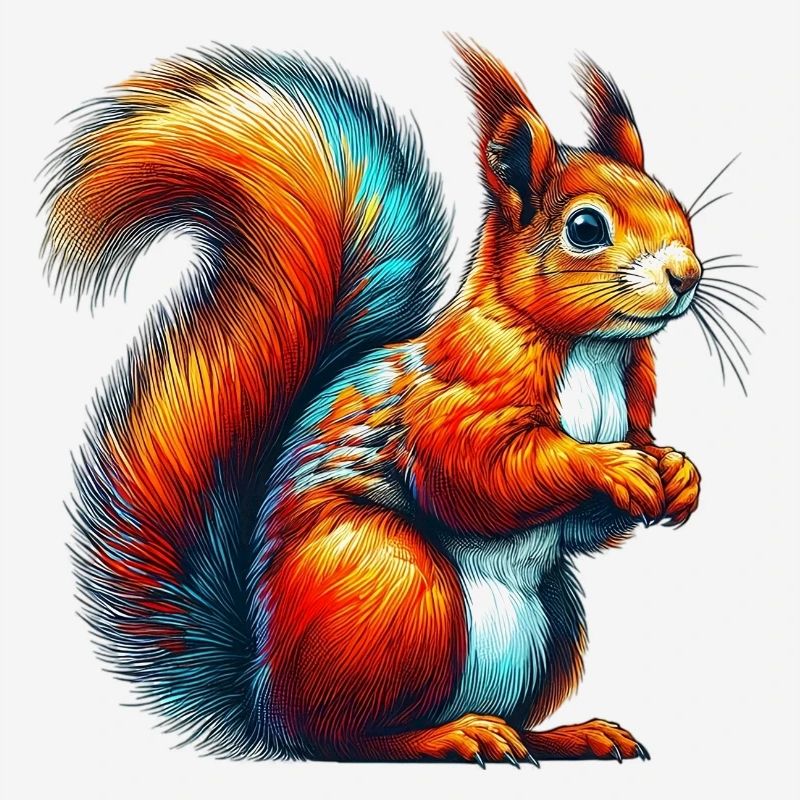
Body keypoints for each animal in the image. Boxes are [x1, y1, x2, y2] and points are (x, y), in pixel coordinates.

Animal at [42, 38, 703, 765]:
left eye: (675, 203)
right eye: (586, 227)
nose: (687, 275)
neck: (592, 351)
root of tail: (261, 695)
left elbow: (589, 524)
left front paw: (676, 471)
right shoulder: (449, 399)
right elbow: (477, 474)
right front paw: (612, 465)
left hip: (553, 622)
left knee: (499, 715)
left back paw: (566, 735)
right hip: (394, 590)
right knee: (345, 737)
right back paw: (454, 735)